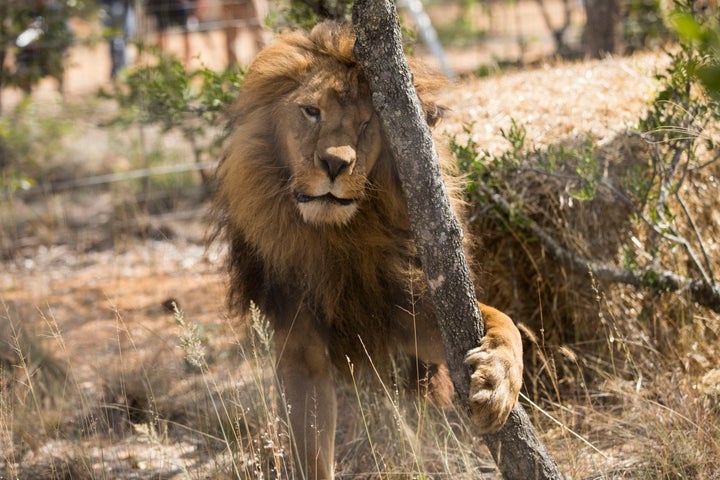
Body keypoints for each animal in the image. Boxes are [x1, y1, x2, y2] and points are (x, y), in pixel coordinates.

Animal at [214, 20, 524, 478]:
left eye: (365, 123)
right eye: (311, 112)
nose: (335, 163)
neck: (337, 236)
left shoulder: (413, 313)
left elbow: (504, 322)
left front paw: (496, 383)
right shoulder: (299, 343)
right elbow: (311, 447)